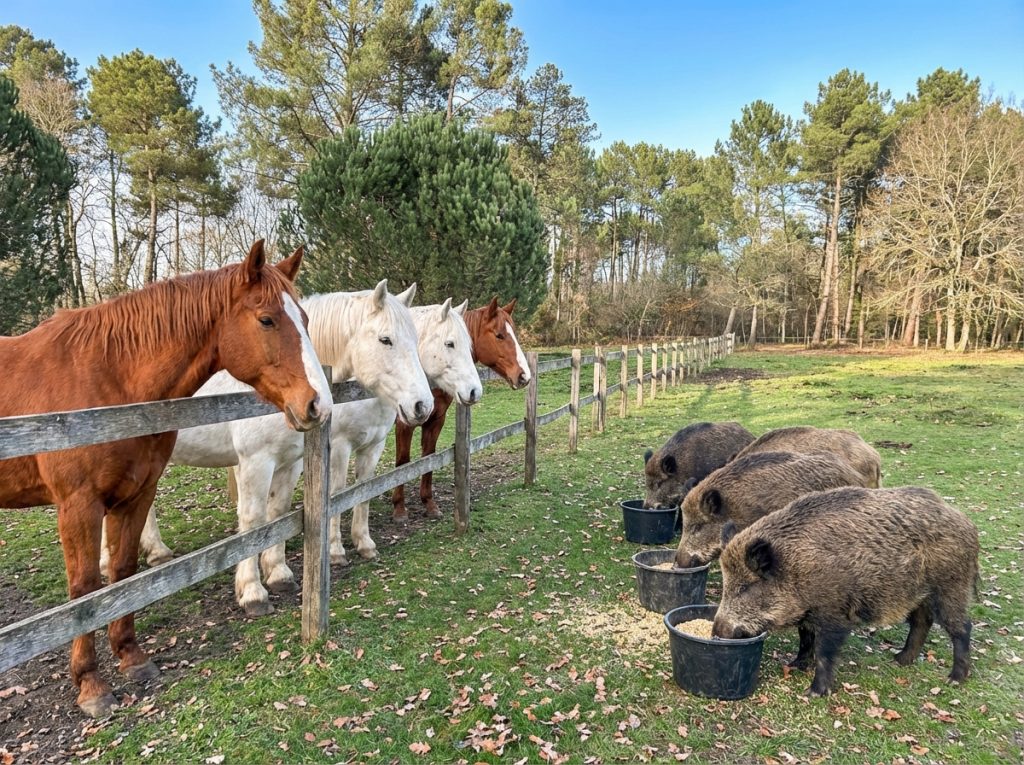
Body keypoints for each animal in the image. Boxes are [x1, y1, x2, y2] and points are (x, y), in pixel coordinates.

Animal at [0, 240, 333, 718]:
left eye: (305, 320)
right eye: (267, 319)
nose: (319, 404)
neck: (107, 382)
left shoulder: (136, 495)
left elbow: (123, 572)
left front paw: (132, 657)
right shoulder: (78, 505)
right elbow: (83, 591)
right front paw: (91, 684)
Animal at [109, 281, 436, 616]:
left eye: (415, 339)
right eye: (386, 340)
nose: (423, 405)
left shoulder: (290, 462)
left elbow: (277, 511)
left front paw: (278, 573)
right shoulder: (257, 462)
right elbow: (252, 520)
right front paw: (253, 592)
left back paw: (151, 553)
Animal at [391, 297, 530, 522]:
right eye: (499, 335)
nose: (524, 376)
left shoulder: (436, 419)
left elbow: (429, 457)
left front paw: (429, 503)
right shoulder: (405, 423)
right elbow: (403, 462)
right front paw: (399, 508)